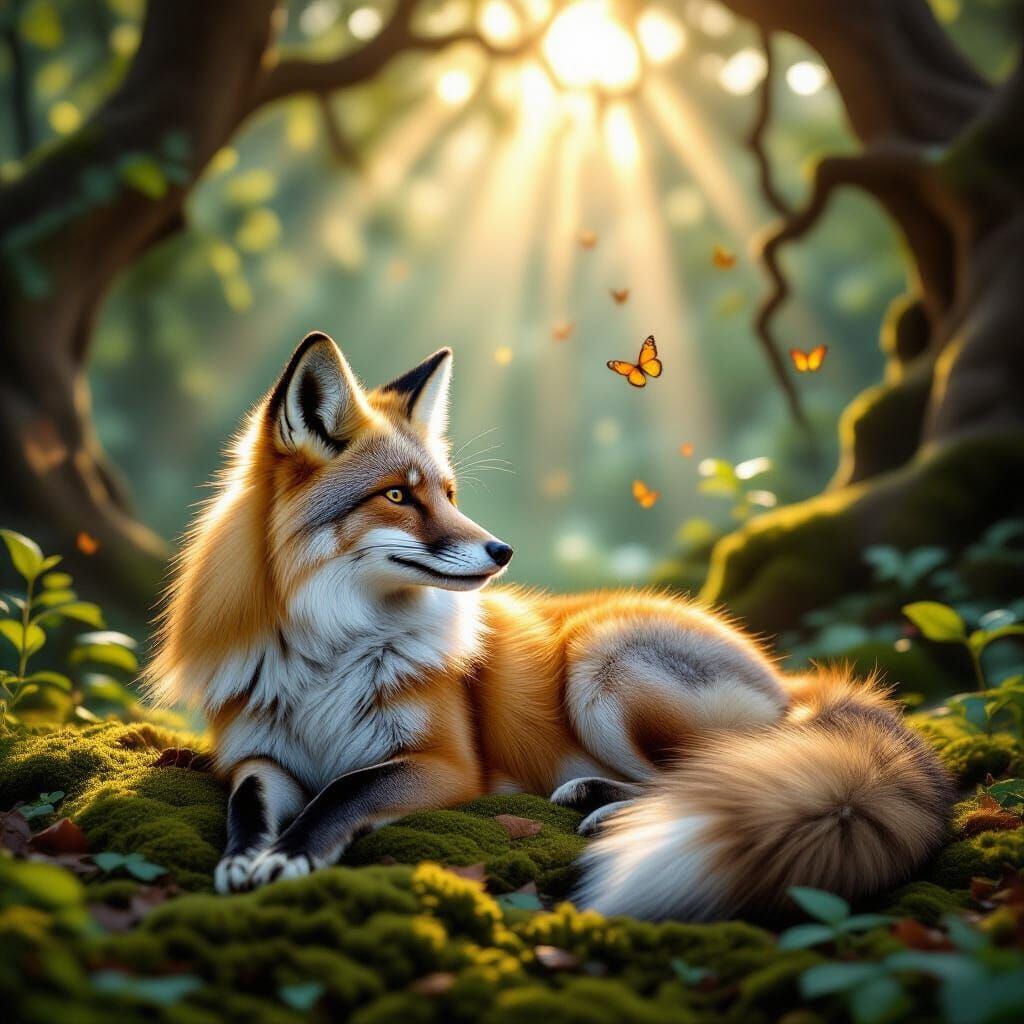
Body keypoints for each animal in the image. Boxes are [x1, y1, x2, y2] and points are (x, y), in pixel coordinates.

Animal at [147, 331, 954, 919]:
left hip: (603, 667)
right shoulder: (258, 754)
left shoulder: (444, 764)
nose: (502, 551)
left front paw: (293, 853)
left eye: (448, 494)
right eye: (398, 496)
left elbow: (341, 794)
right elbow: (248, 805)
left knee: (729, 771)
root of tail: (790, 679)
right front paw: (243, 857)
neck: (327, 654)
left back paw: (618, 816)